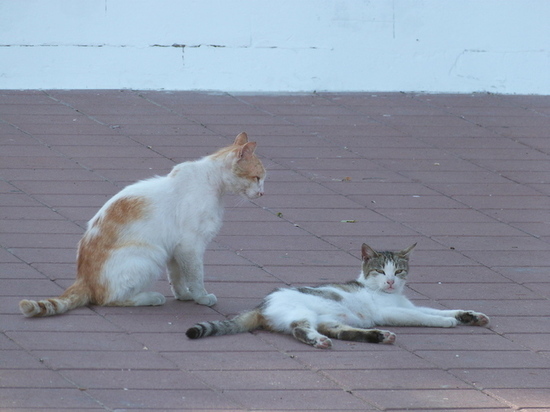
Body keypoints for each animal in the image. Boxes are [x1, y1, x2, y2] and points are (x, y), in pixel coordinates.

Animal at [19, 132, 266, 316]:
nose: (263, 193)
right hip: (151, 254)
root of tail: (83, 279)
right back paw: (151, 297)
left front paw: (184, 295)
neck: (212, 183)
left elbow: (177, 276)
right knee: (108, 299)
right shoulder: (190, 246)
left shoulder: (176, 249)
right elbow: (196, 276)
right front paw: (201, 296)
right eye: (257, 178)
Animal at [189, 243, 492, 350]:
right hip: (301, 313)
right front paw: (447, 323)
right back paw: (318, 341)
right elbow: (422, 317)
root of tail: (262, 304)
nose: (391, 281)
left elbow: (436, 310)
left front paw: (469, 316)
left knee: (341, 331)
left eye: (399, 271)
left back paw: (379, 336)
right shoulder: (391, 311)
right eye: (381, 270)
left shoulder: (407, 303)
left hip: (331, 319)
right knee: (300, 329)